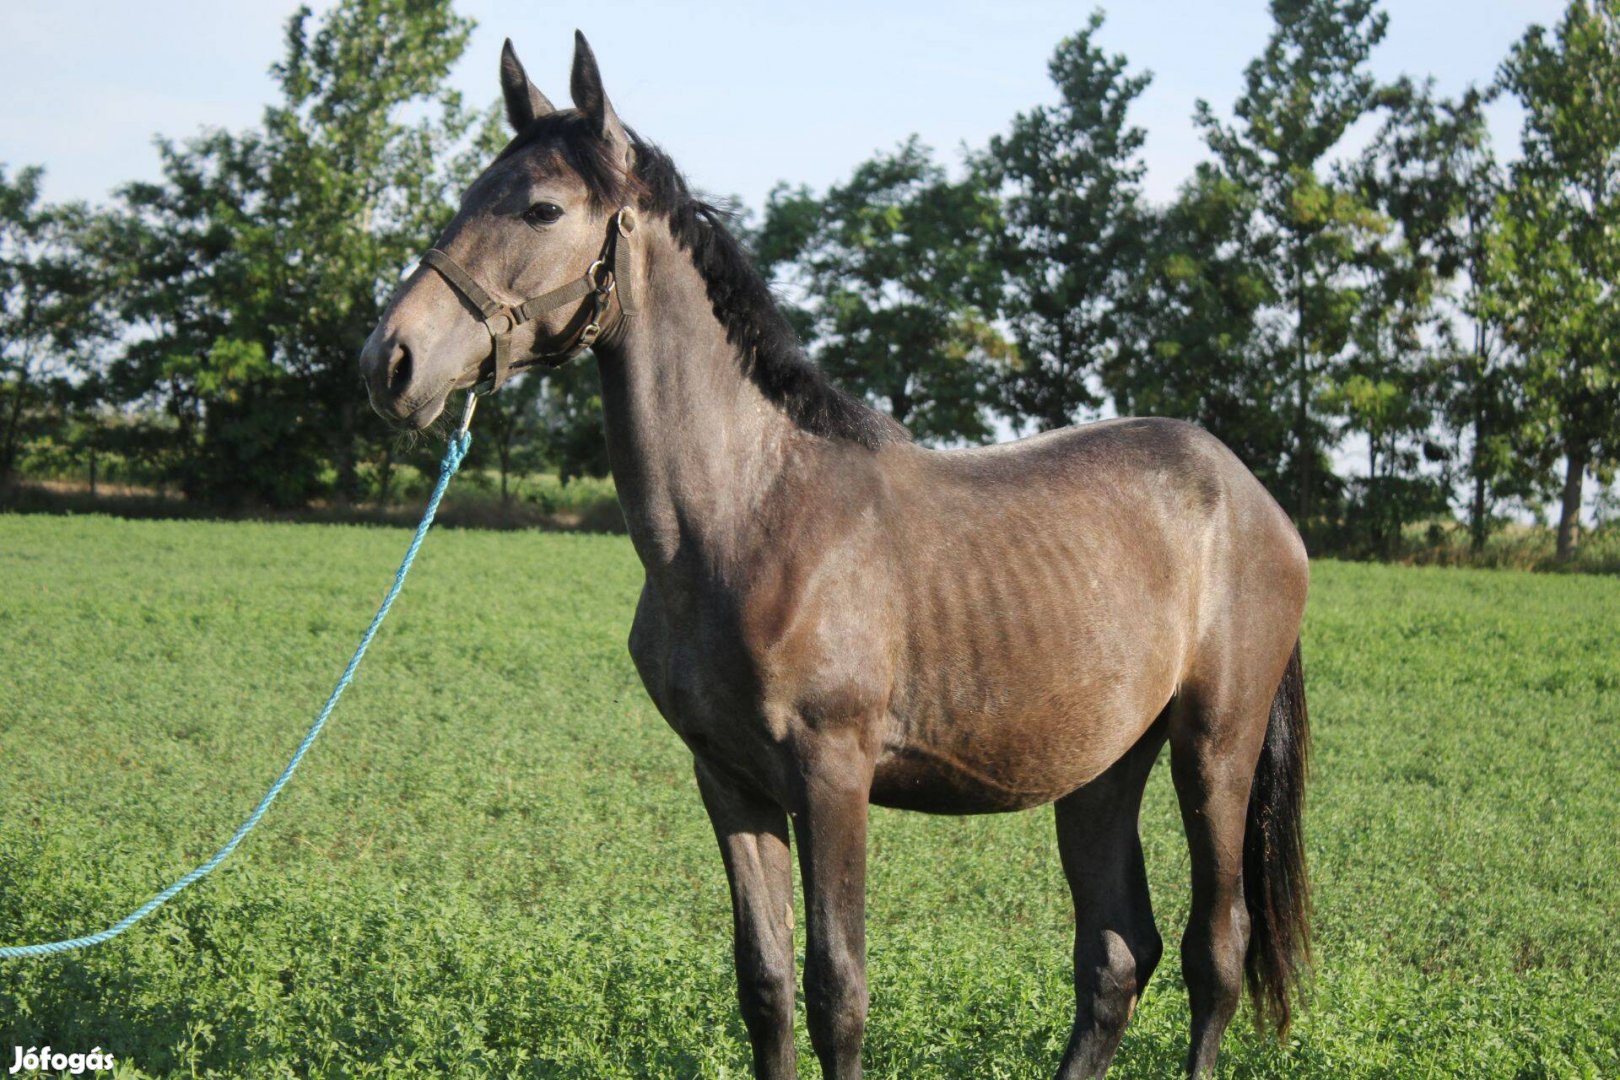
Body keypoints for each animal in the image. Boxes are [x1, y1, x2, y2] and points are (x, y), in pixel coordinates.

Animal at [361, 33, 1308, 1080]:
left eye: (541, 208)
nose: (391, 363)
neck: (748, 515)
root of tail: (1252, 497)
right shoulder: (730, 780)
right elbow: (767, 985)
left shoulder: (832, 775)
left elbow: (837, 992)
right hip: (1102, 769)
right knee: (1115, 955)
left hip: (1213, 747)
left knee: (1214, 951)